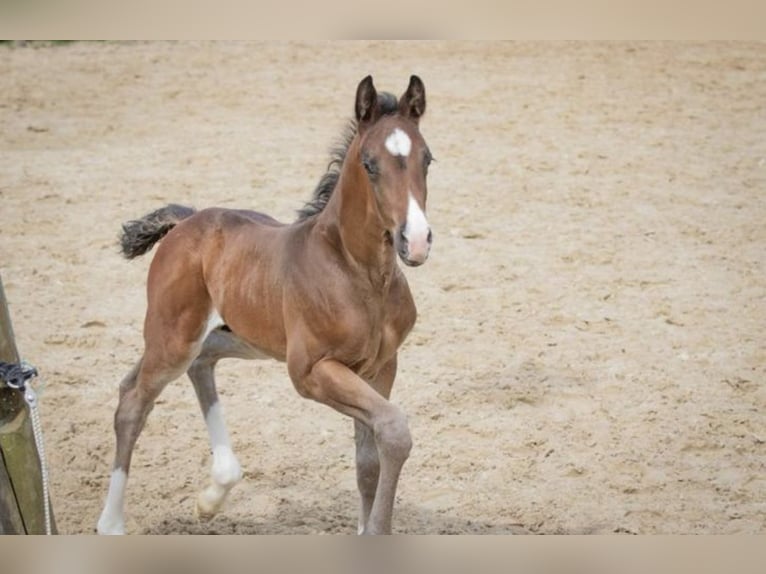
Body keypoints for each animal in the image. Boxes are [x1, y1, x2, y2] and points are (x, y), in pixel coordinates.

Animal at [97, 75, 432, 536]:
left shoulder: (380, 367)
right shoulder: (309, 371)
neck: (357, 272)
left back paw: (215, 491)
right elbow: (395, 431)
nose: (415, 241)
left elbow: (369, 460)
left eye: (428, 160)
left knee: (198, 363)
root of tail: (187, 220)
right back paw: (111, 524)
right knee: (133, 400)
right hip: (173, 337)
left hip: (241, 337)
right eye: (369, 164)